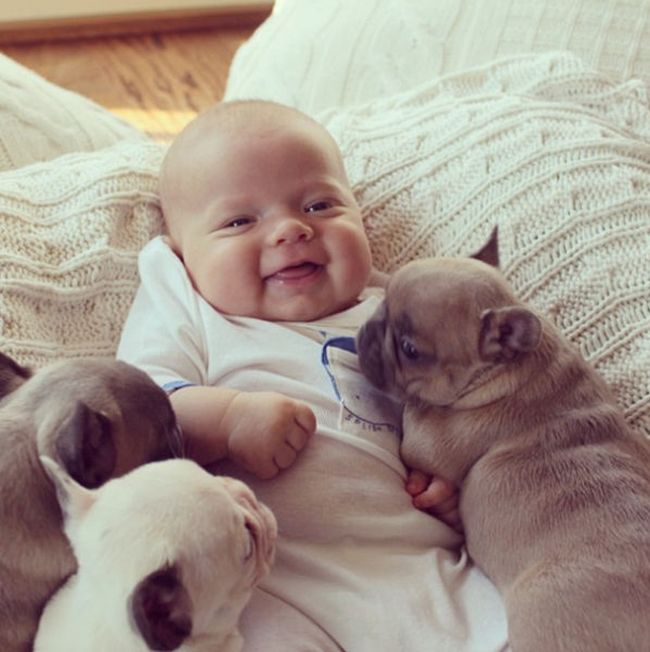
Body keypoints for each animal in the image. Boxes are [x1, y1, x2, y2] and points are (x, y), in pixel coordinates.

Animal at [354, 236, 648, 652]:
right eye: (384, 306)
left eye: (411, 350)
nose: (369, 329)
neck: (509, 368)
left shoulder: (431, 440)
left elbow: (416, 416)